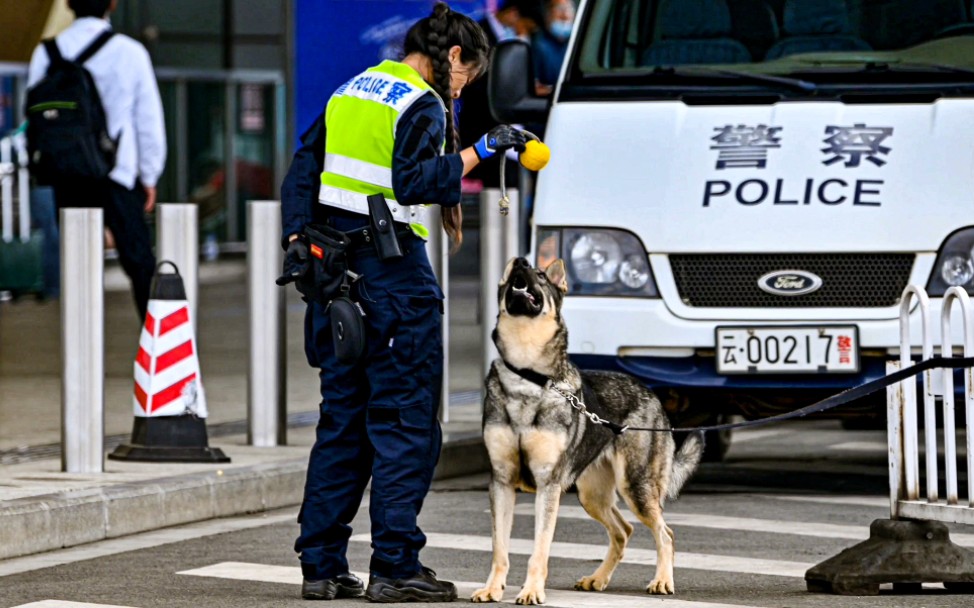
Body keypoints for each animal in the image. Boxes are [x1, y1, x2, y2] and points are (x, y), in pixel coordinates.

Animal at [470, 255, 700, 604]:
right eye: (511, 272)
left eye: (540, 275)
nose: (520, 261)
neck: (527, 375)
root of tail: (651, 393)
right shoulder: (501, 482)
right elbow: (500, 549)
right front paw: (493, 589)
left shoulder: (548, 485)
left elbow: (539, 550)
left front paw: (532, 591)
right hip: (591, 496)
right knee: (624, 531)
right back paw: (597, 579)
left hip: (635, 488)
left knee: (665, 533)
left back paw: (661, 581)